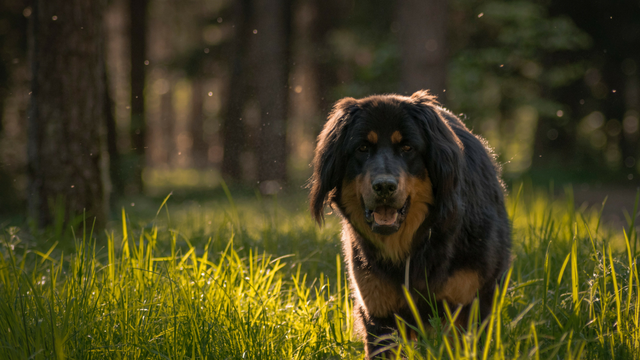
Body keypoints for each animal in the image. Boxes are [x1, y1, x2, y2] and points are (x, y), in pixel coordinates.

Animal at [308, 90, 512, 358]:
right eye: (362, 148)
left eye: (407, 148)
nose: (384, 186)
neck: (415, 246)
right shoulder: (379, 313)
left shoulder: (470, 305)